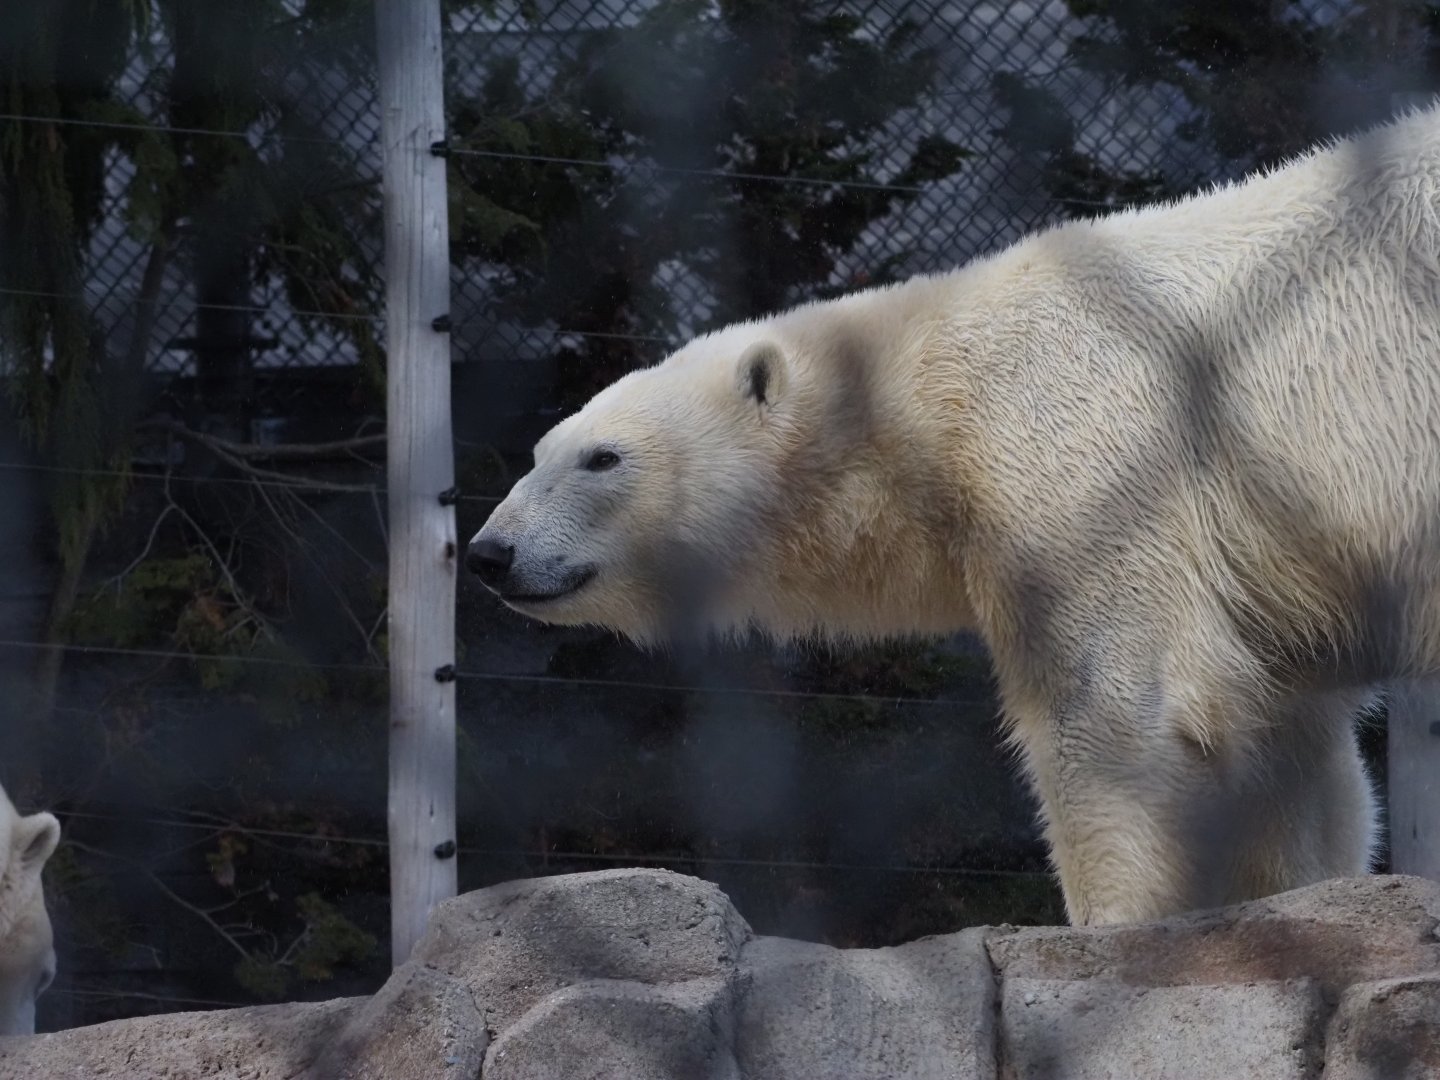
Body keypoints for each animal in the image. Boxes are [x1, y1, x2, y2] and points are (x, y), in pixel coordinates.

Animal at [467, 105, 1440, 926]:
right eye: (538, 452)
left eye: (602, 457)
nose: (491, 552)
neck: (927, 398)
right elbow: (1296, 755)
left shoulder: (1085, 457)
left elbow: (1117, 709)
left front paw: (1113, 928)